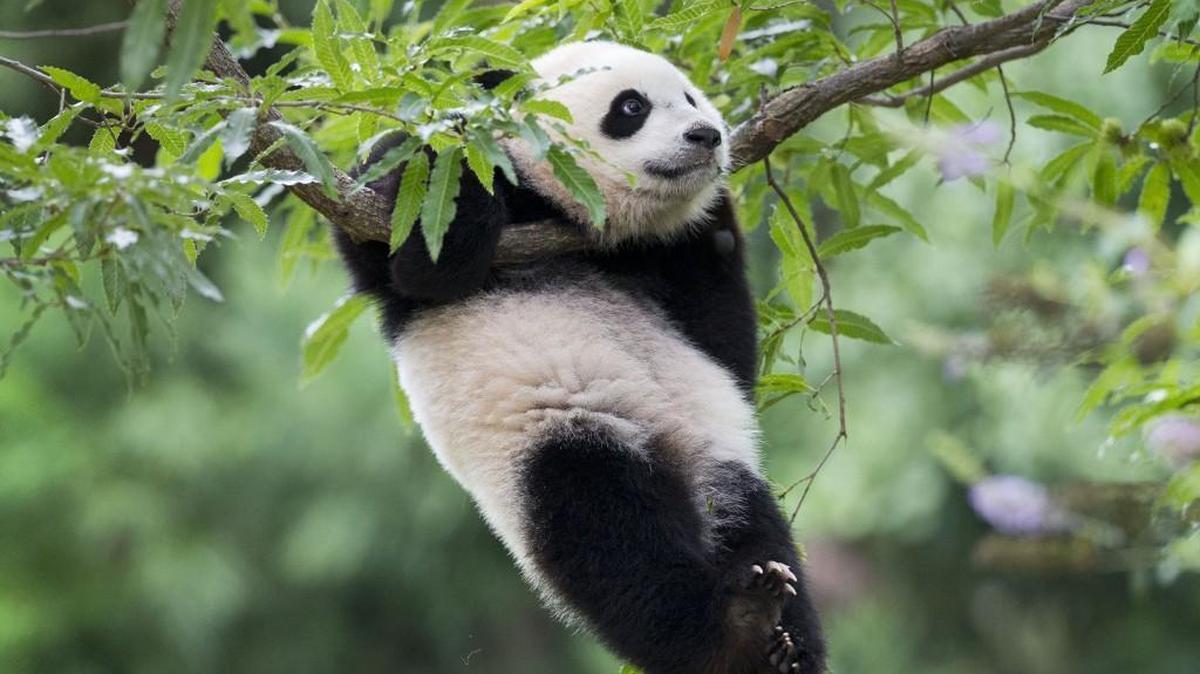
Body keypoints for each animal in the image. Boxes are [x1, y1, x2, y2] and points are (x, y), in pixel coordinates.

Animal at [334, 41, 827, 674]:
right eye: (632, 106)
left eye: (690, 97)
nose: (705, 135)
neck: (572, 216)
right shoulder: (390, 226)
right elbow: (421, 256)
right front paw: (460, 152)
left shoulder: (669, 266)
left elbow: (730, 352)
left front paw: (716, 224)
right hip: (559, 438)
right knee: (611, 539)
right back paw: (731, 630)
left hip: (720, 463)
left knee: (756, 530)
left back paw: (782, 643)